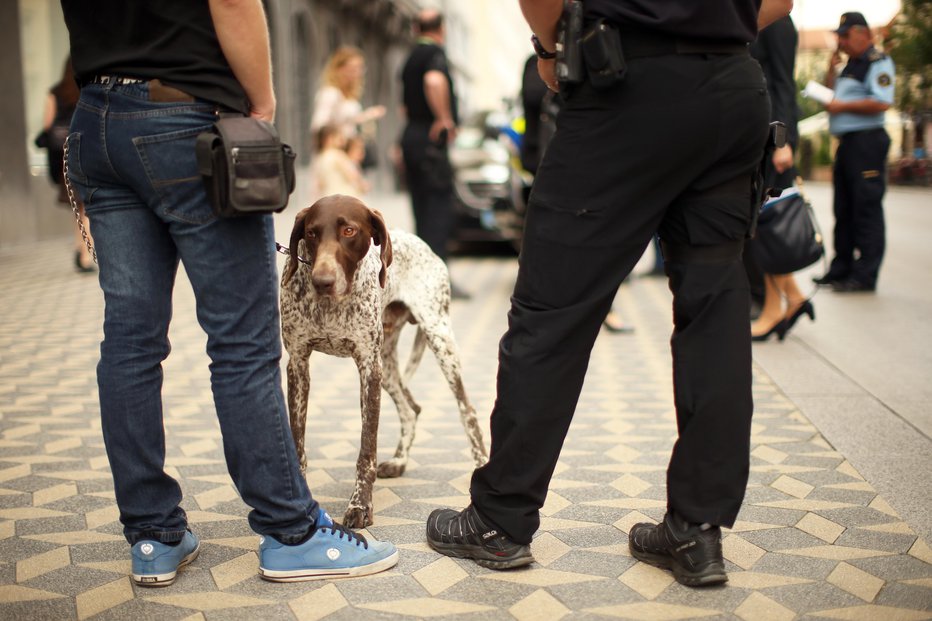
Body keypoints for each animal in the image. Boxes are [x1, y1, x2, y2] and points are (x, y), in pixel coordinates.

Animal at [282, 195, 488, 528]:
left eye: (349, 231)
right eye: (311, 233)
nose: (323, 281)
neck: (330, 307)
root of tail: (422, 242)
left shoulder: (368, 368)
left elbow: (367, 449)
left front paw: (360, 506)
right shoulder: (298, 364)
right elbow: (297, 441)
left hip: (439, 341)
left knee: (466, 410)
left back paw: (481, 463)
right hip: (388, 368)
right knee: (410, 408)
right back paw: (400, 460)